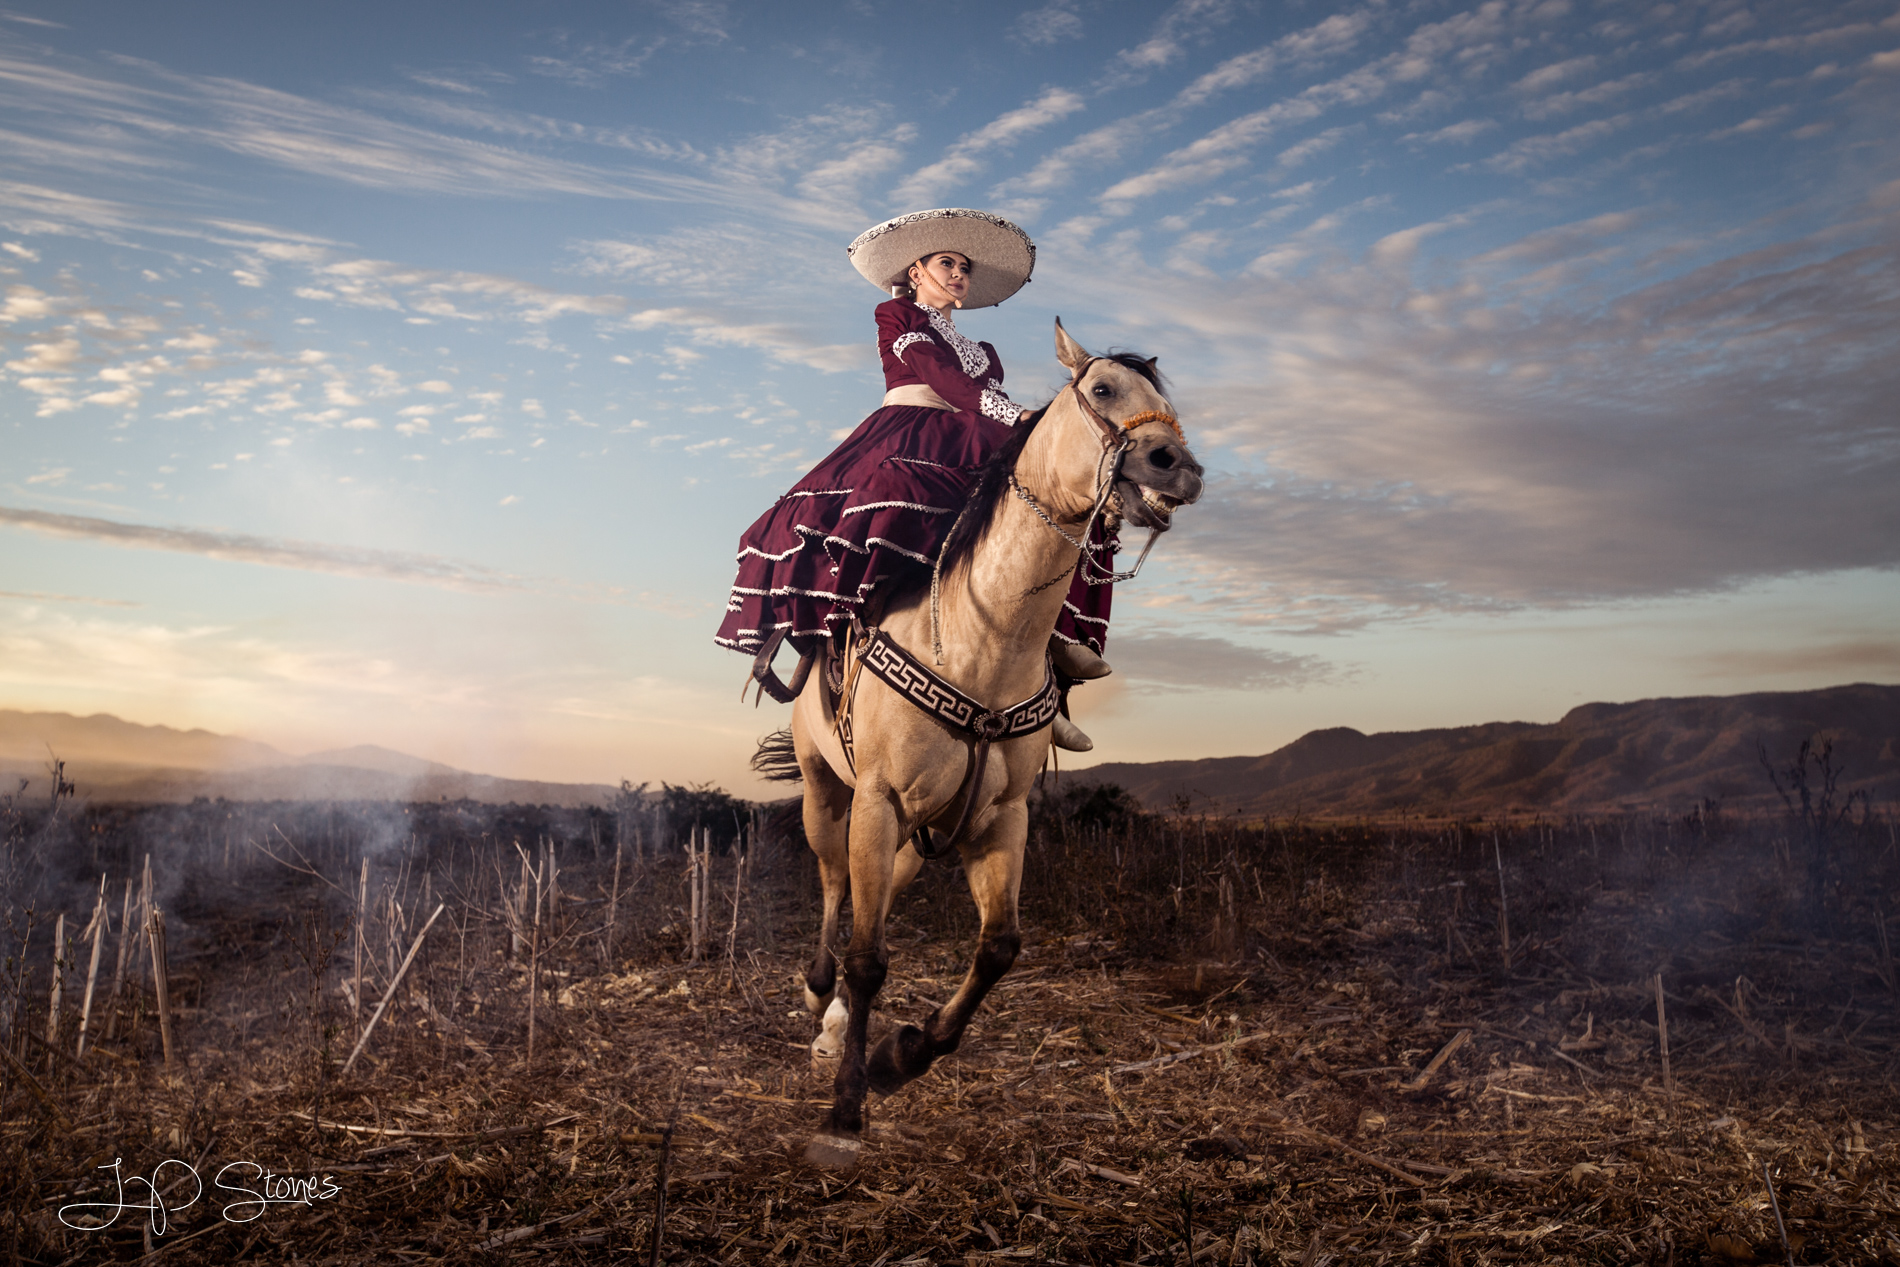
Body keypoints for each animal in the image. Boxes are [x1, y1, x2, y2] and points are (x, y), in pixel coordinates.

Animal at [752, 319, 1200, 1170]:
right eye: (1102, 389)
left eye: (1172, 401)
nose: (1180, 468)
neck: (982, 636)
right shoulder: (879, 800)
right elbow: (868, 958)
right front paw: (845, 1111)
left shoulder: (1003, 817)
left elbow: (999, 947)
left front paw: (901, 1057)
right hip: (831, 795)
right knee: (833, 888)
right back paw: (819, 1000)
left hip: (916, 831)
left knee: (876, 894)